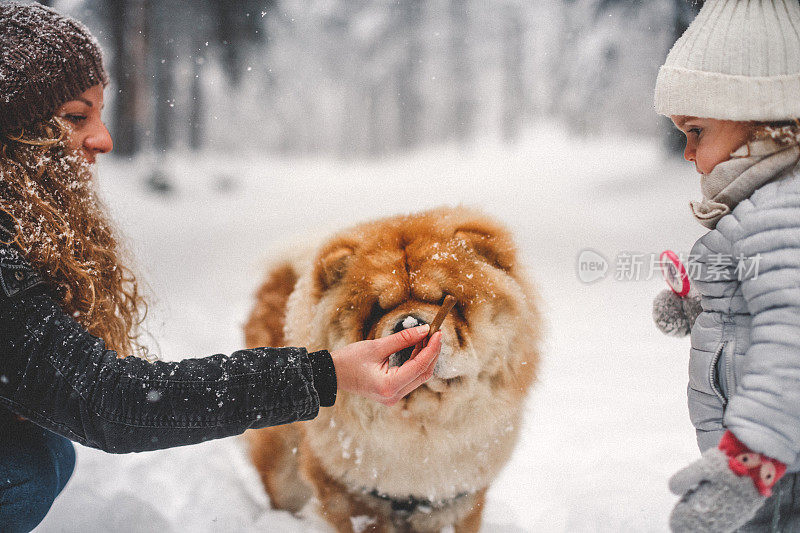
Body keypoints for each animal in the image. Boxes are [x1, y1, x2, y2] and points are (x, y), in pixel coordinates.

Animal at [244, 206, 540, 528]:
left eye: (443, 299)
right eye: (378, 309)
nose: (409, 324)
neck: (420, 435)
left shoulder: (461, 496)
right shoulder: (350, 495)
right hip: (283, 469)